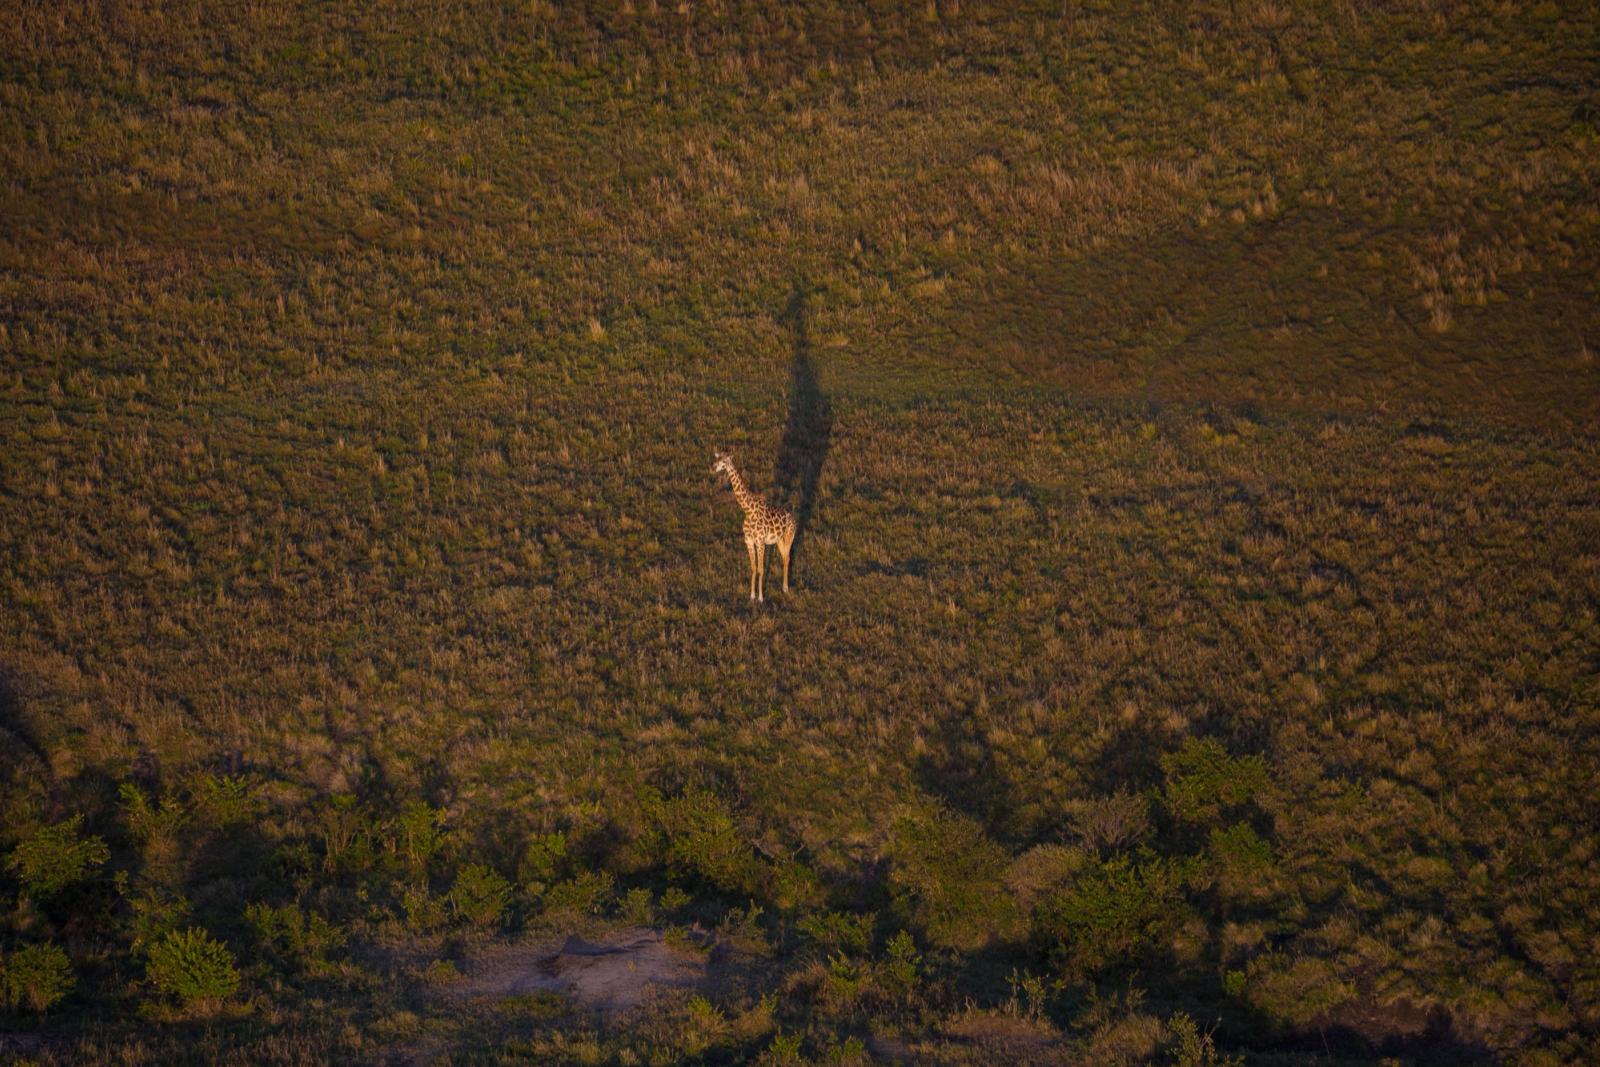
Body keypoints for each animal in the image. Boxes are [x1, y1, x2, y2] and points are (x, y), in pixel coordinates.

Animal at [711, 451, 797, 602]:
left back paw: (785, 588)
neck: (748, 510)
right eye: (717, 459)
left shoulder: (760, 542)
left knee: (787, 558)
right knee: (785, 557)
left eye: (725, 462)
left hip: (789, 537)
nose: (713, 468)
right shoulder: (749, 541)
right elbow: (753, 567)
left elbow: (761, 569)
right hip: (779, 540)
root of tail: (793, 517)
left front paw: (761, 597)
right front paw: (752, 595)